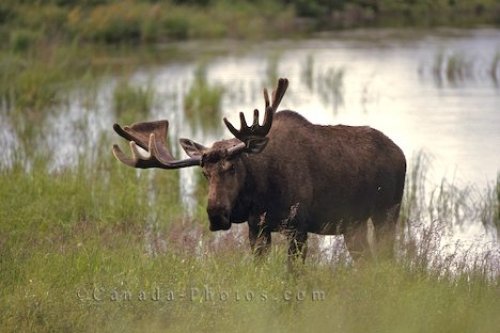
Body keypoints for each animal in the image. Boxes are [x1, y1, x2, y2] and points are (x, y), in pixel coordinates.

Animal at [113, 78, 406, 262]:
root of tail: (401, 154)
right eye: (204, 174)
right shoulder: (257, 229)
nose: (216, 215)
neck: (261, 193)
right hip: (353, 225)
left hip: (387, 212)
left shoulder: (298, 226)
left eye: (232, 168)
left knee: (387, 258)